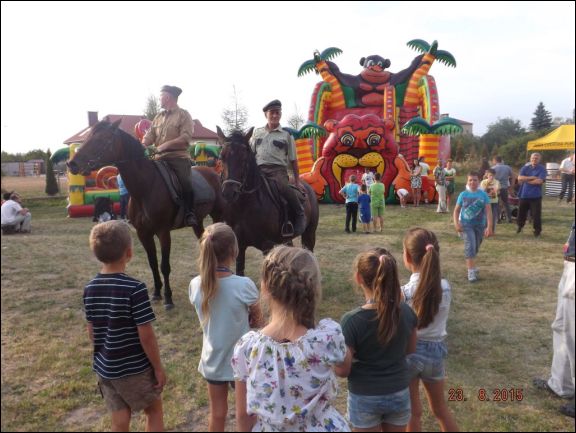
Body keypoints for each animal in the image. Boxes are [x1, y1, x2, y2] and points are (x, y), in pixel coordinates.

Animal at [67, 118, 225, 308]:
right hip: (197, 222)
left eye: (101, 139)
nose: (72, 164)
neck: (146, 187)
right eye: (88, 136)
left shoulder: (163, 233)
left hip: (217, 216)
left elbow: (164, 265)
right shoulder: (144, 234)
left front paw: (168, 298)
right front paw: (157, 293)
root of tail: (213, 173)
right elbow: (152, 263)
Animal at [216, 126, 320, 274]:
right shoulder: (239, 245)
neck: (245, 207)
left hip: (309, 234)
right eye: (221, 157)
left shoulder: (268, 246)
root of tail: (305, 186)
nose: (229, 192)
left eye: (244, 158)